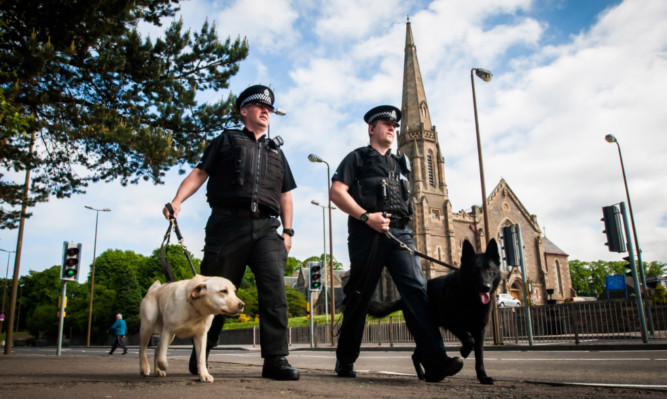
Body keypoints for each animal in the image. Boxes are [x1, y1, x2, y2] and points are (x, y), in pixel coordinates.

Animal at [370, 239, 500, 386]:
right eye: (473, 270)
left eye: (490, 270)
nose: (486, 287)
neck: (471, 299)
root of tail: (402, 300)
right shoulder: (451, 322)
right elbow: (469, 339)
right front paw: (465, 351)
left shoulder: (480, 330)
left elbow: (480, 357)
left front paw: (483, 377)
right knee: (419, 353)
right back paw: (429, 373)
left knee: (417, 354)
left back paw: (426, 374)